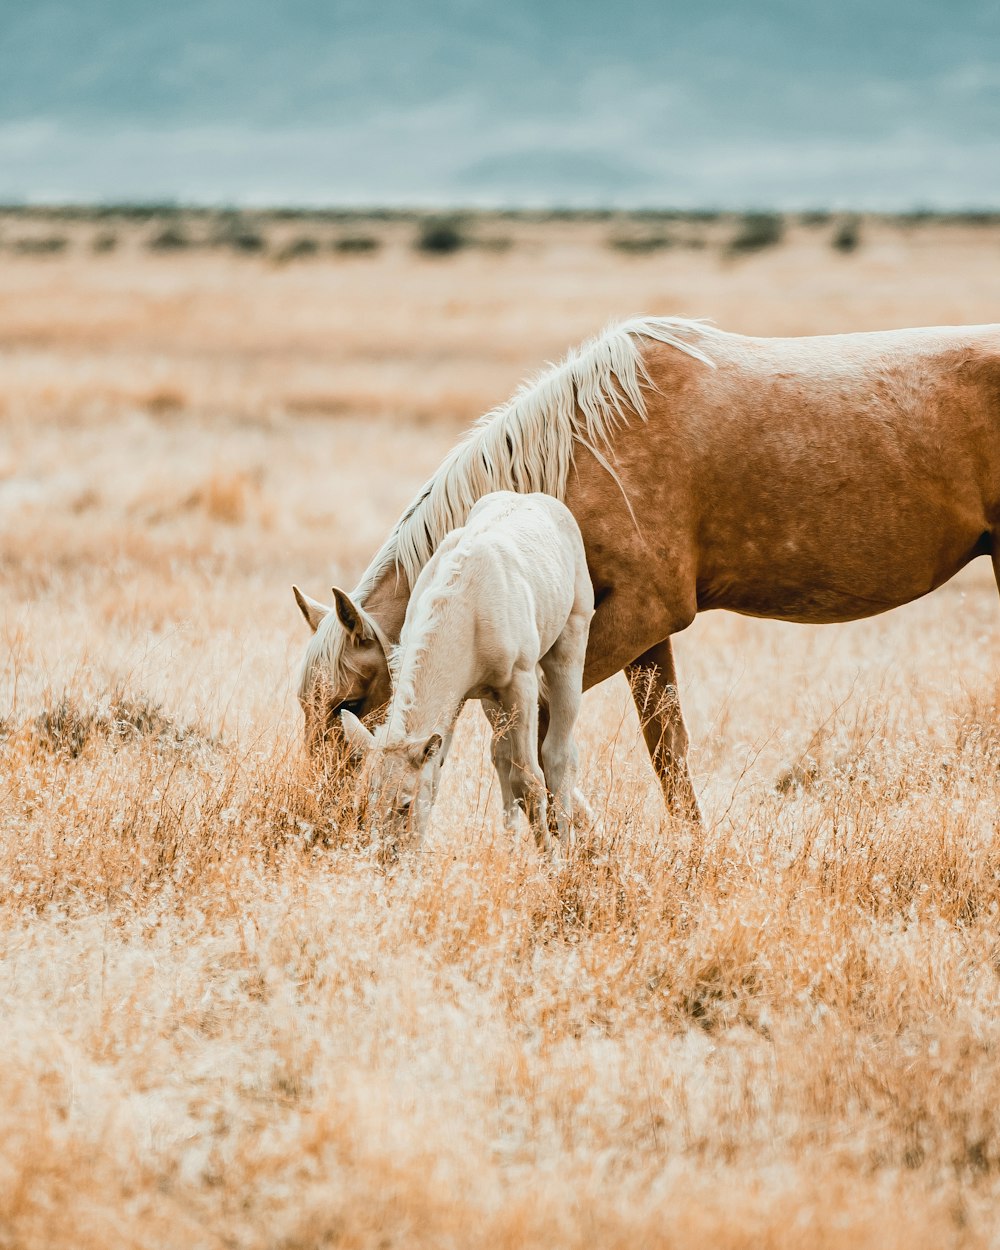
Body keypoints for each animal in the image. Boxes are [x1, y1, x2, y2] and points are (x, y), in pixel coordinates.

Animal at [342, 487, 595, 850]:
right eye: (367, 801)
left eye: (404, 804)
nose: (388, 857)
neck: (467, 606)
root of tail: (540, 500)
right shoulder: (457, 697)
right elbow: (438, 778)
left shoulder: (521, 683)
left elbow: (528, 777)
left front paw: (551, 858)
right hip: (492, 700)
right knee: (501, 756)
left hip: (570, 642)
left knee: (559, 754)